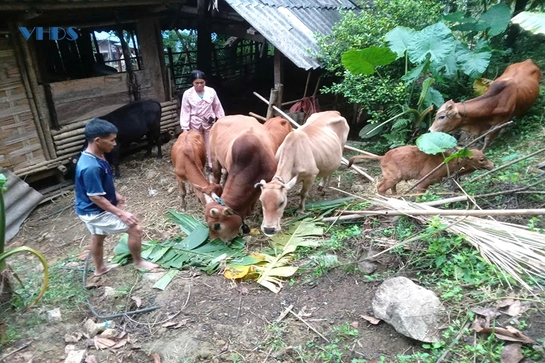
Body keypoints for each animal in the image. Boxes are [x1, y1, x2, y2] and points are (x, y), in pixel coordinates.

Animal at [348, 146, 492, 196]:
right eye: (482, 159)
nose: (493, 164)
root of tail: (383, 156)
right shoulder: (424, 182)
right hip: (392, 177)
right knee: (380, 187)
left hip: (396, 177)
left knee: (392, 188)